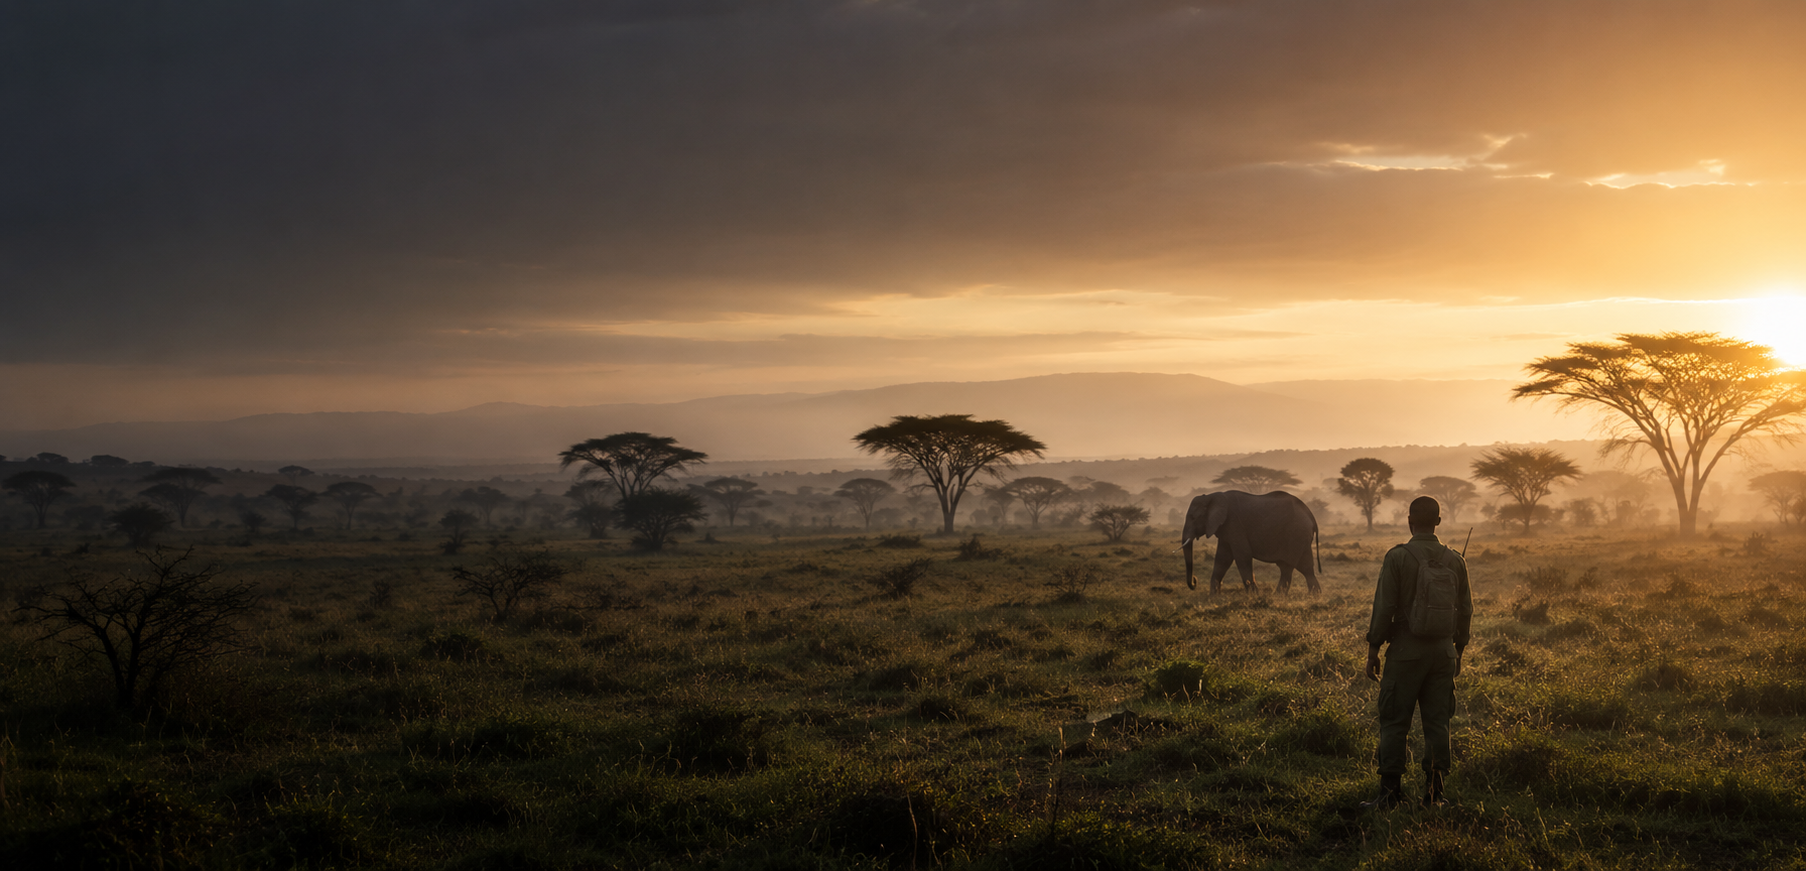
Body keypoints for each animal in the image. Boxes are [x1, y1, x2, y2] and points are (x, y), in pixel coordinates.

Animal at [1180, 490, 1321, 594]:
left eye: (1193, 517)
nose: (1195, 580)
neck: (1212, 496)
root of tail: (1310, 515)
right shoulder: (1225, 529)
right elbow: (1222, 558)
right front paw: (1214, 597)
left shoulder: (1234, 524)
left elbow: (1242, 555)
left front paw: (1254, 595)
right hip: (1301, 536)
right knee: (1306, 567)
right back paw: (1314, 595)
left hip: (1295, 534)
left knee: (1287, 566)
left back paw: (1278, 596)